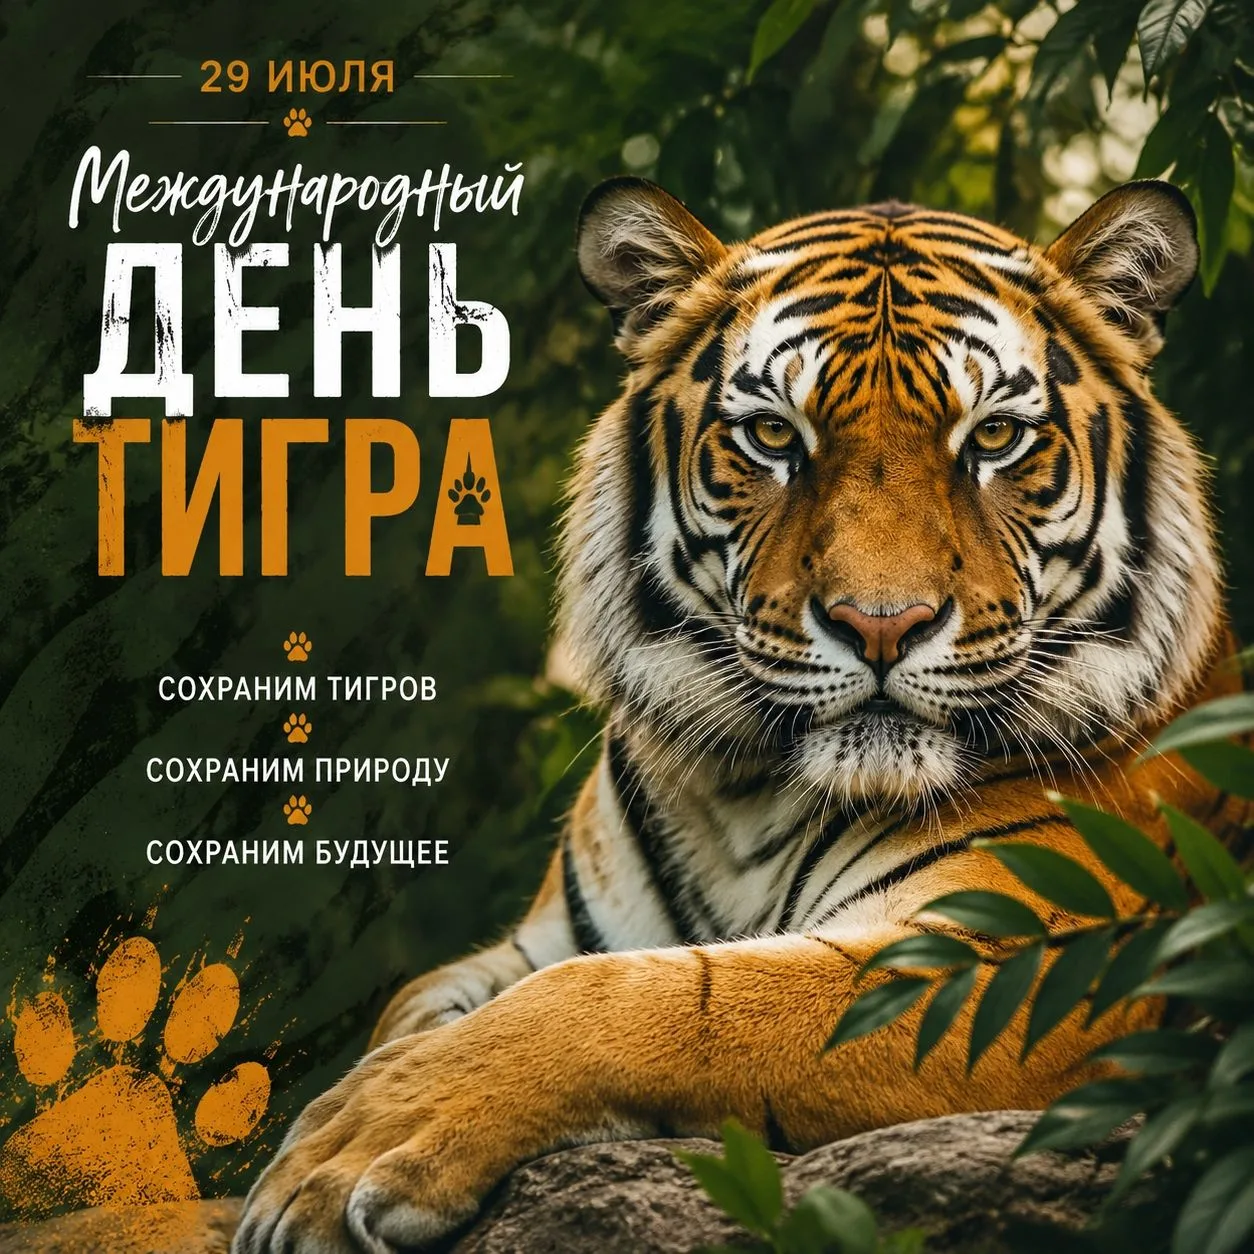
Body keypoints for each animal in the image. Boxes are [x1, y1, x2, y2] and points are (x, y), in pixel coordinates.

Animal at [233, 178, 1248, 1254]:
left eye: (993, 438)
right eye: (773, 437)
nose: (880, 624)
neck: (747, 798)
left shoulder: (1012, 952)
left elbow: (666, 992)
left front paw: (362, 1137)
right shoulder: (539, 940)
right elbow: (414, 1005)